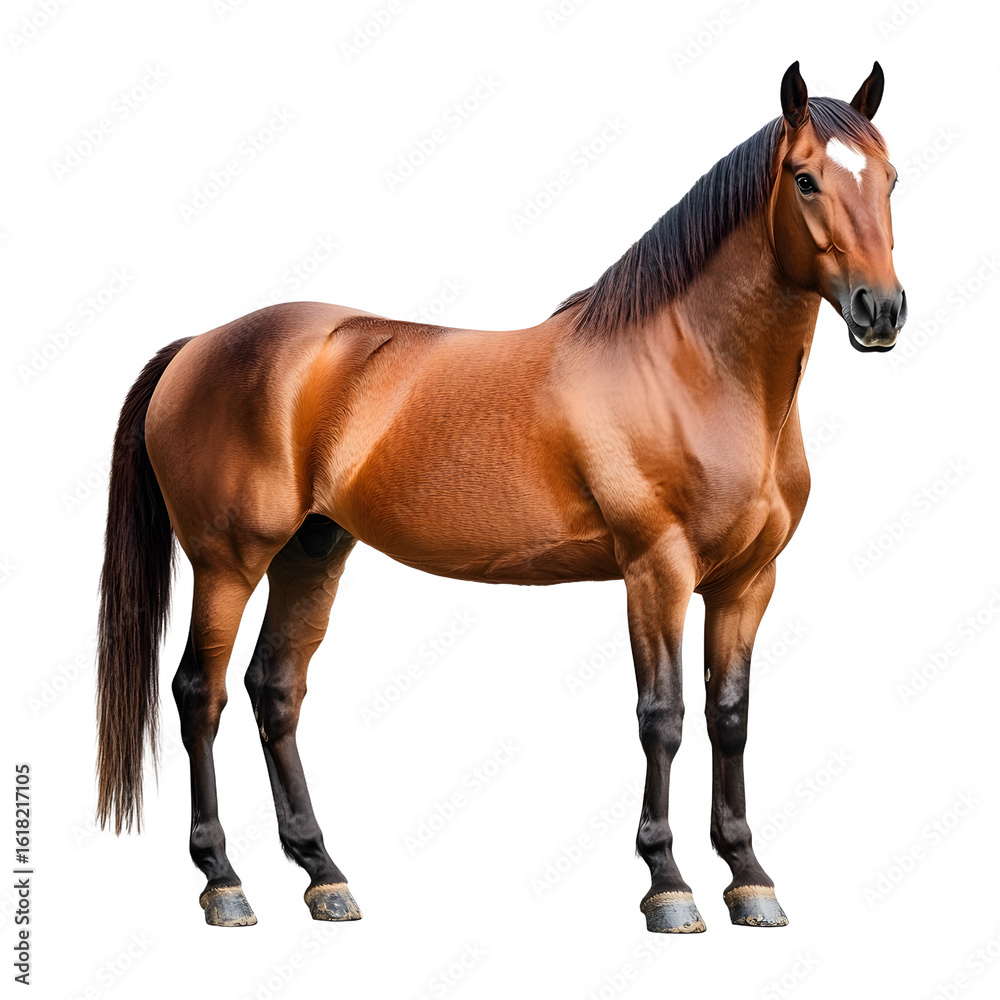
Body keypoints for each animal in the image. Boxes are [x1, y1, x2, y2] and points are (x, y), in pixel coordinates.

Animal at [96, 61, 905, 932]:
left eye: (891, 178)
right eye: (806, 179)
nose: (881, 311)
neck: (695, 372)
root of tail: (198, 346)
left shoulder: (747, 582)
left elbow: (731, 717)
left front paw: (749, 878)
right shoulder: (656, 572)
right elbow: (663, 718)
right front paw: (668, 884)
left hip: (312, 553)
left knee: (273, 691)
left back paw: (323, 875)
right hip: (227, 563)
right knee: (199, 696)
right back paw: (223, 882)